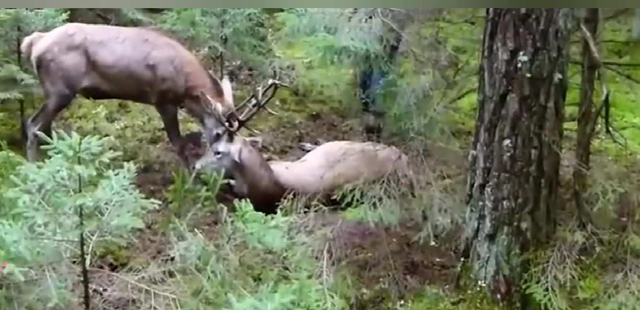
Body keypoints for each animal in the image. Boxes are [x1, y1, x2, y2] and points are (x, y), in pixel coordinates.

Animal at [21, 22, 240, 166]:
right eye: (219, 133)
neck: (185, 91)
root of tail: (33, 42)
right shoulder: (163, 100)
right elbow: (178, 144)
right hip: (60, 90)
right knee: (33, 125)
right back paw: (34, 167)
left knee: (44, 127)